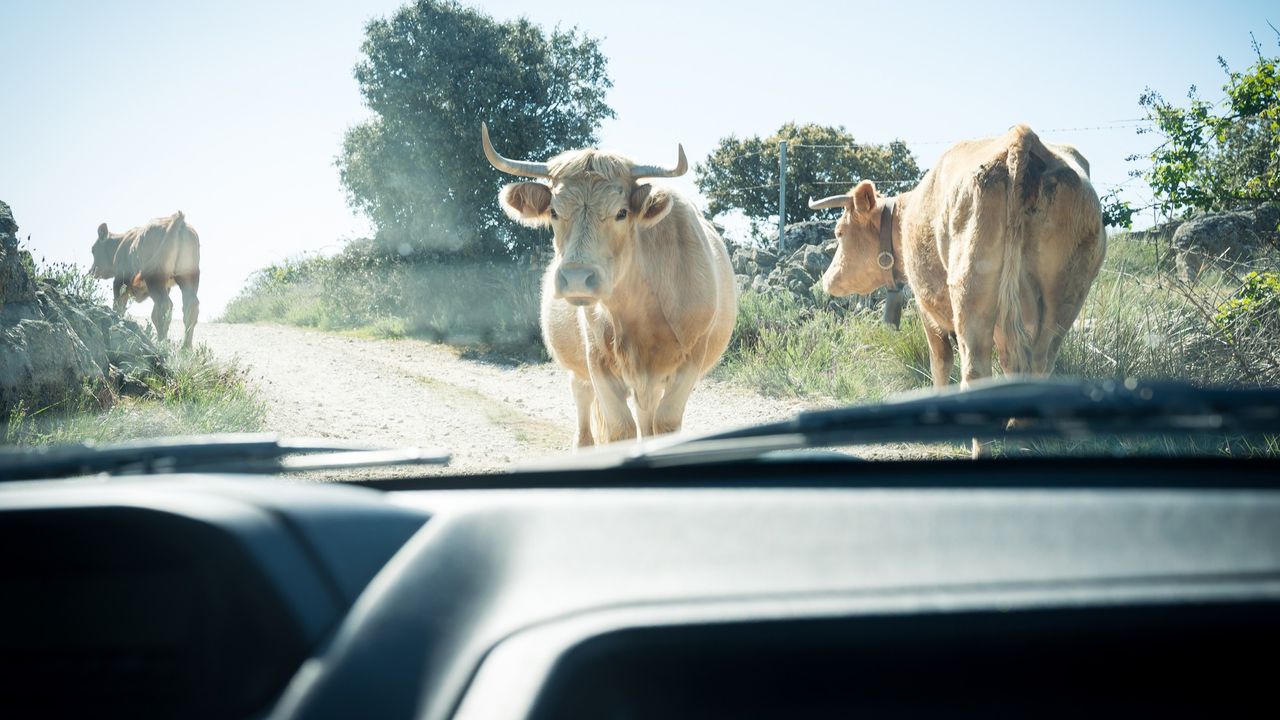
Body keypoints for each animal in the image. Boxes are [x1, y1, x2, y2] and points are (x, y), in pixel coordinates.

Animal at [91, 210, 200, 348]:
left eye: (93, 250)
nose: (92, 271)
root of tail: (178, 221)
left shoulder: (120, 280)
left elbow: (119, 305)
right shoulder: (167, 286)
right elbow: (153, 314)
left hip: (155, 277)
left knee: (165, 305)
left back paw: (162, 343)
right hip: (188, 276)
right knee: (190, 305)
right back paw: (185, 347)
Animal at [481, 122, 742, 443]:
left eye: (621, 212)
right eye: (554, 211)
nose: (576, 278)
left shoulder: (690, 361)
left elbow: (665, 424)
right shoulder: (599, 364)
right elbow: (621, 428)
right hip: (581, 373)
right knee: (585, 418)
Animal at [814, 121, 1105, 448]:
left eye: (839, 232)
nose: (827, 280)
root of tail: (1022, 137)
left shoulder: (927, 307)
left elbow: (940, 360)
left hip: (971, 288)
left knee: (975, 371)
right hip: (1065, 296)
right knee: (1039, 364)